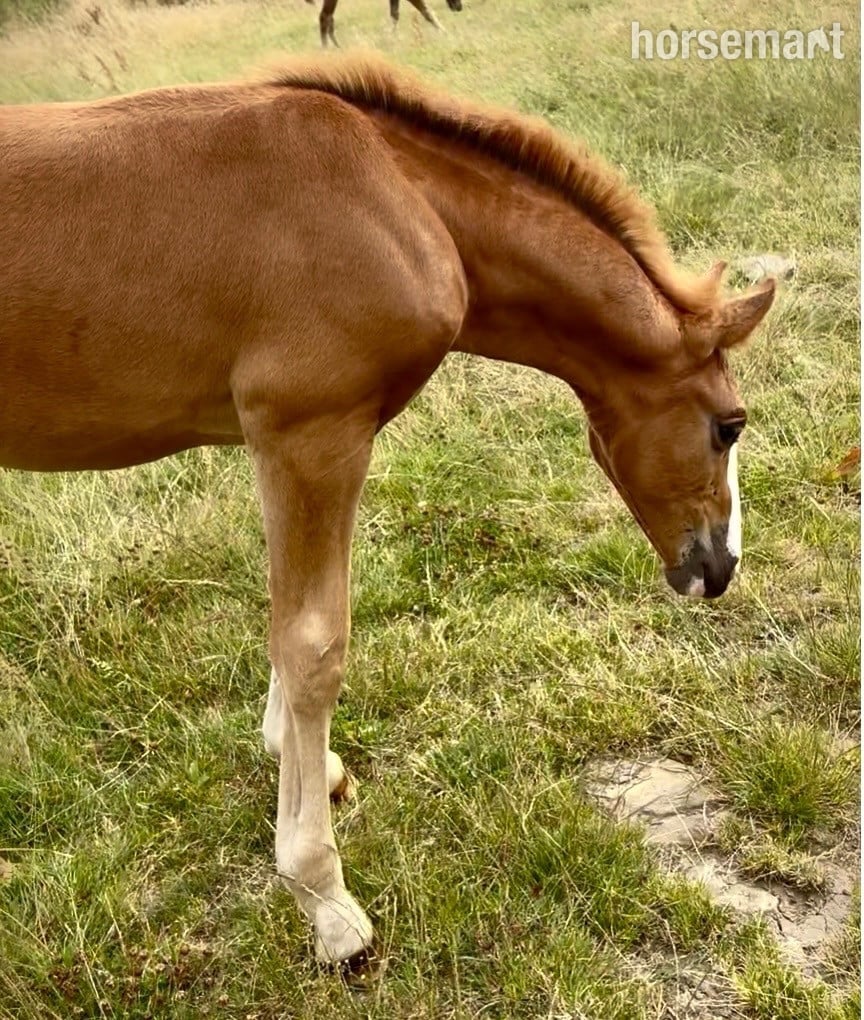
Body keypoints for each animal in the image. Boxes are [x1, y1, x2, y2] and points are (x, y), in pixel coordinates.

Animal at [0, 54, 774, 975]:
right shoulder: (313, 432)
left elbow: (287, 622)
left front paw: (307, 764)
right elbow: (313, 643)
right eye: (729, 426)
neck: (395, 194)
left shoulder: (283, 445)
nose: (718, 567)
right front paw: (326, 903)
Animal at [307, 0, 462, 48]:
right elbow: (426, 12)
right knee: (325, 17)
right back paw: (327, 49)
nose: (458, 7)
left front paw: (390, 37)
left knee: (329, 19)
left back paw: (338, 47)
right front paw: (445, 33)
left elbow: (394, 14)